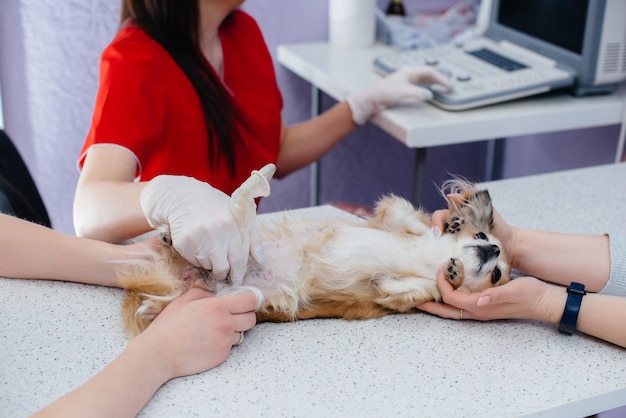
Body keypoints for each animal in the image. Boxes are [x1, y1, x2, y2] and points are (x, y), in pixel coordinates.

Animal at [119, 165, 510, 338]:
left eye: (497, 275)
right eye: (480, 233)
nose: (491, 247)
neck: (427, 259)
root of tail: (190, 277)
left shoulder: (392, 294)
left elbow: (406, 288)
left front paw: (451, 274)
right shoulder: (387, 217)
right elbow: (407, 217)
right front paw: (449, 224)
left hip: (237, 297)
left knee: (180, 300)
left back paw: (154, 307)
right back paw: (170, 237)